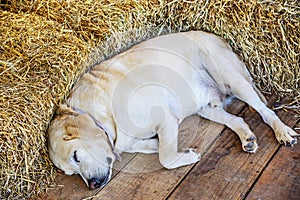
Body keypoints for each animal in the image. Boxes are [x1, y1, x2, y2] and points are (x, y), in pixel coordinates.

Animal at [47, 30, 298, 190]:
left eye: (76, 156)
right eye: (71, 172)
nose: (92, 186)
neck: (103, 113)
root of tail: (218, 38)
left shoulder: (166, 117)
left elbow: (165, 158)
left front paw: (187, 155)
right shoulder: (130, 141)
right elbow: (154, 147)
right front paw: (171, 147)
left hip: (232, 78)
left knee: (265, 111)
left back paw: (283, 132)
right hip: (207, 107)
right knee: (238, 120)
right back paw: (247, 138)